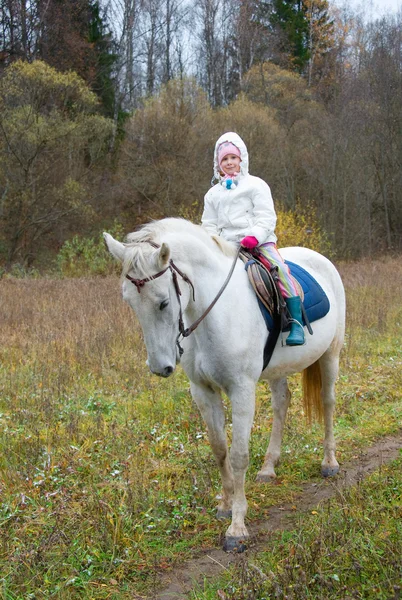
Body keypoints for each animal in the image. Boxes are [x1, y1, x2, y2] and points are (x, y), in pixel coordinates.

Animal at [103, 218, 346, 552]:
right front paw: (225, 506)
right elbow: (219, 449)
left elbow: (239, 454)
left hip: (331, 355)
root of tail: (321, 259)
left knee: (328, 402)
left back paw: (329, 462)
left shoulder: (241, 390)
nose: (159, 367)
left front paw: (237, 527)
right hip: (279, 369)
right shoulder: (203, 391)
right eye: (128, 301)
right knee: (282, 403)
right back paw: (269, 467)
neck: (213, 315)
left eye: (163, 302)